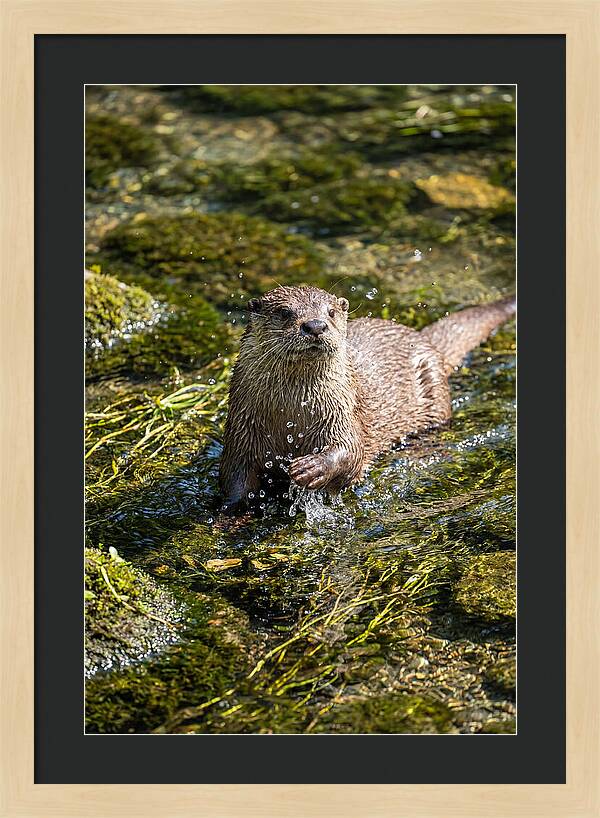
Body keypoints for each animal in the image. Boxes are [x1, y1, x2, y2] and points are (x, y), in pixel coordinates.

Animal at [219, 285, 515, 513]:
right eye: (284, 312)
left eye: (331, 312)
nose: (315, 325)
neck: (291, 416)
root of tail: (422, 338)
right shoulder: (241, 431)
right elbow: (235, 478)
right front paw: (229, 514)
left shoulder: (343, 414)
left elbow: (351, 451)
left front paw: (312, 468)